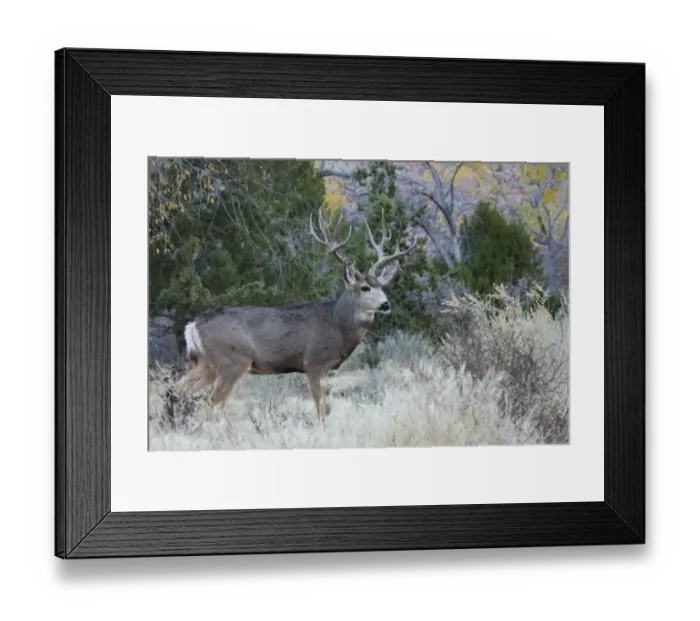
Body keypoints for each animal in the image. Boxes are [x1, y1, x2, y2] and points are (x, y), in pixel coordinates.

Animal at [164, 206, 417, 424]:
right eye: (365, 288)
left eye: (382, 286)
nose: (386, 304)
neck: (336, 323)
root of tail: (194, 324)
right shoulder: (314, 362)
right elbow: (322, 408)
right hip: (233, 360)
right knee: (215, 401)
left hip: (207, 362)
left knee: (176, 390)